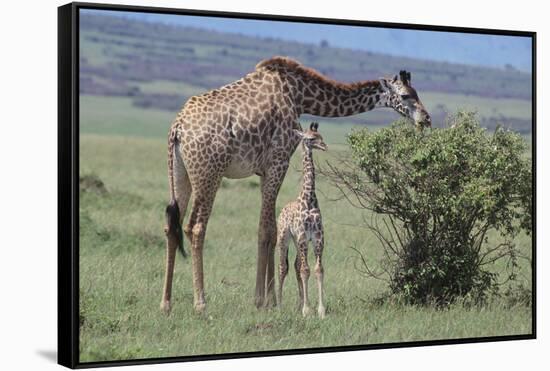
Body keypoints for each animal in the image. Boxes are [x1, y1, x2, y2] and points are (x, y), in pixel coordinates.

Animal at [276, 122, 328, 320]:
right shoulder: (303, 236)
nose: (324, 146)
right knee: (283, 267)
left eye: (321, 136)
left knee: (297, 265)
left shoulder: (317, 237)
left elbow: (318, 269)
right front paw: (307, 310)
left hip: (297, 242)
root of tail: (282, 210)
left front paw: (319, 309)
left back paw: (299, 304)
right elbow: (306, 270)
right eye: (311, 138)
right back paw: (279, 305)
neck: (309, 199)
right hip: (284, 238)